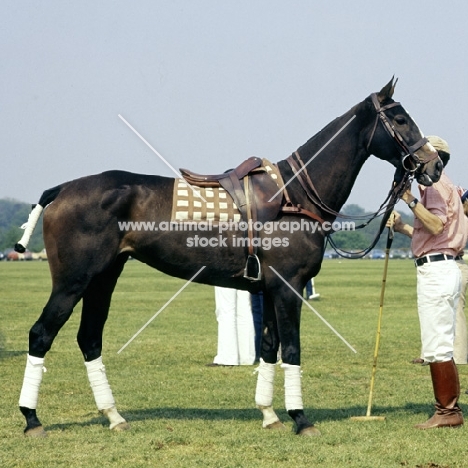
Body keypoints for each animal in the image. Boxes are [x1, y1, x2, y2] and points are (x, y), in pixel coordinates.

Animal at [16, 78, 442, 436]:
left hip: (103, 278)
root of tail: (62, 189)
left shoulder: (270, 289)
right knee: (41, 334)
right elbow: (291, 349)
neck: (294, 197)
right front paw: (300, 419)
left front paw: (270, 414)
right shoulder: (289, 287)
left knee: (89, 339)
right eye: (400, 119)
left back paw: (114, 416)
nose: (435, 164)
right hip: (72, 281)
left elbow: (268, 347)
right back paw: (32, 419)